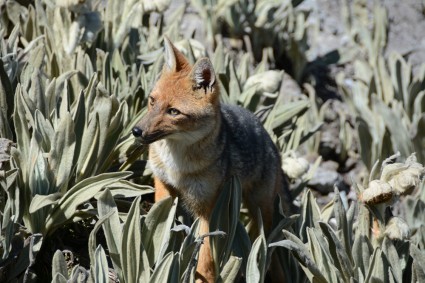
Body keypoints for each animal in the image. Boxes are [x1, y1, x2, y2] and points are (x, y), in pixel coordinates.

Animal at [132, 37, 292, 282]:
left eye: (173, 112)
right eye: (152, 101)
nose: (136, 131)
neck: (176, 164)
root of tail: (270, 141)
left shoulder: (207, 208)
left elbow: (206, 255)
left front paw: (202, 278)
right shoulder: (164, 186)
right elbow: (161, 221)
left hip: (259, 210)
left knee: (269, 247)